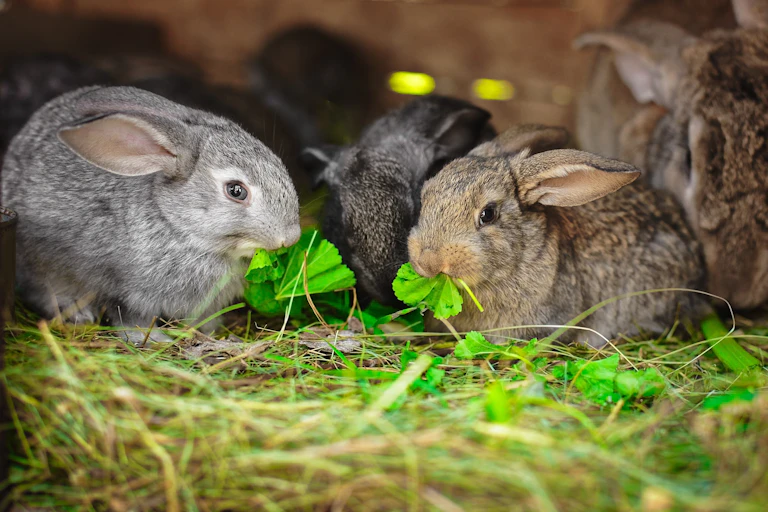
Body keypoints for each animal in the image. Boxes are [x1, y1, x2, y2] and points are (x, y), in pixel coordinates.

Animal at [1, 85, 301, 343]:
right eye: (236, 190)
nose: (291, 237)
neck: (178, 227)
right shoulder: (129, 293)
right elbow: (131, 318)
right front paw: (155, 338)